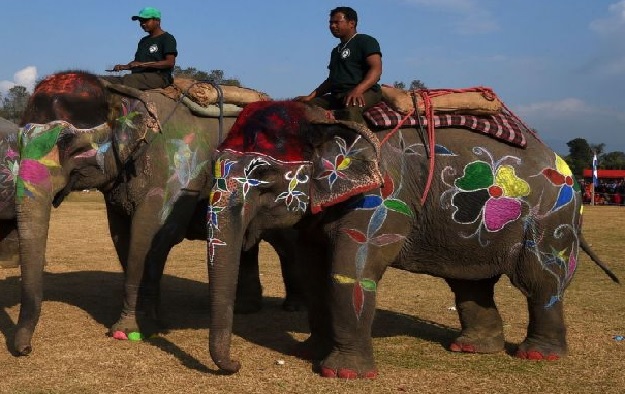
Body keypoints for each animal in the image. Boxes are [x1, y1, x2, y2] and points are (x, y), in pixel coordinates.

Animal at [11, 71, 300, 358]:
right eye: (18, 145)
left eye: (70, 146)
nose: (25, 349)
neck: (119, 92)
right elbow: (123, 238)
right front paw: (147, 322)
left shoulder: (175, 170)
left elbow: (150, 234)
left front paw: (129, 331)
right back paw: (247, 309)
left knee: (286, 244)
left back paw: (292, 307)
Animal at [204, 101, 616, 378]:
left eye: (265, 175)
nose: (236, 364)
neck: (324, 116)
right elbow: (313, 270)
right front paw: (310, 352)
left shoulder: (383, 194)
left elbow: (352, 268)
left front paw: (343, 373)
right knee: (470, 282)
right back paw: (471, 348)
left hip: (550, 221)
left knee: (540, 282)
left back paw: (538, 355)